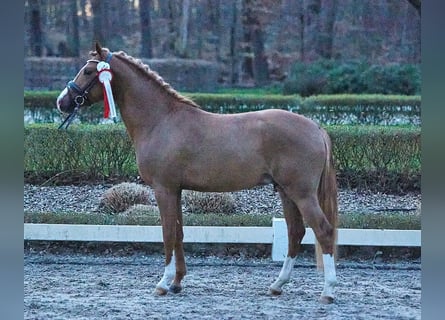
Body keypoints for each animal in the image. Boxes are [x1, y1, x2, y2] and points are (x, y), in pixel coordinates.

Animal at [57, 43, 338, 304]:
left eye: (88, 71)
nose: (62, 102)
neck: (161, 121)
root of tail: (315, 127)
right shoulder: (176, 190)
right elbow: (179, 233)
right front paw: (177, 283)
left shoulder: (164, 189)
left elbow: (167, 233)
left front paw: (163, 283)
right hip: (286, 192)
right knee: (295, 233)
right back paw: (277, 285)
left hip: (301, 194)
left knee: (323, 230)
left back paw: (328, 291)